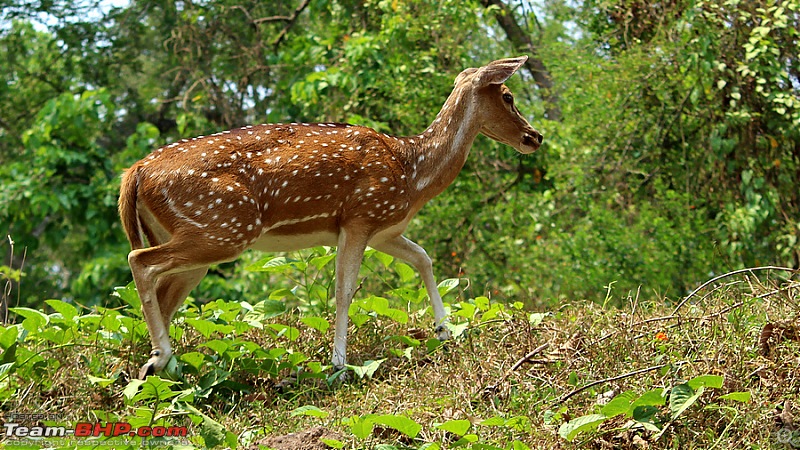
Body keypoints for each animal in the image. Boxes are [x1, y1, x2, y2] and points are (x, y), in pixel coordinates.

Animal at [119, 56, 544, 380]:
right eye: (508, 96)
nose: (535, 137)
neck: (413, 173)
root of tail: (134, 173)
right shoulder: (360, 216)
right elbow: (345, 291)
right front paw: (338, 364)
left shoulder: (384, 228)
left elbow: (423, 258)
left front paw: (445, 331)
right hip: (224, 227)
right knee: (139, 261)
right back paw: (160, 356)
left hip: (193, 238)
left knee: (161, 290)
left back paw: (151, 367)